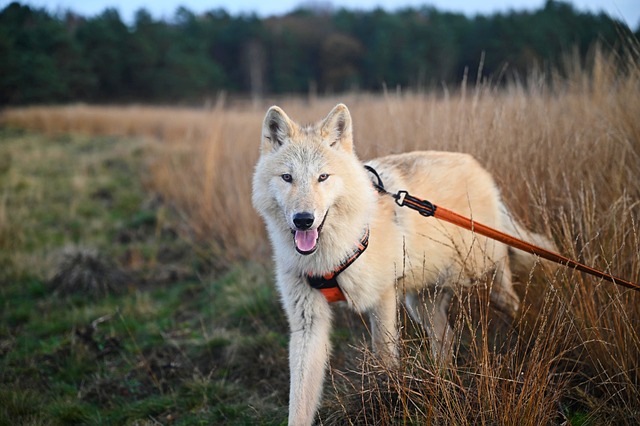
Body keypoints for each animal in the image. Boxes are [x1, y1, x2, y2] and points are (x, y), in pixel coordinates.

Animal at [252, 104, 552, 426]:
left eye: (323, 177)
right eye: (287, 177)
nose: (303, 220)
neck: (329, 257)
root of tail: (478, 168)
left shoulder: (382, 300)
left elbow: (384, 363)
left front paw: (387, 403)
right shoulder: (308, 323)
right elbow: (300, 401)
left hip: (483, 275)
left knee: (510, 300)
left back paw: (527, 335)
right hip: (421, 304)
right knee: (447, 338)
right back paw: (441, 383)